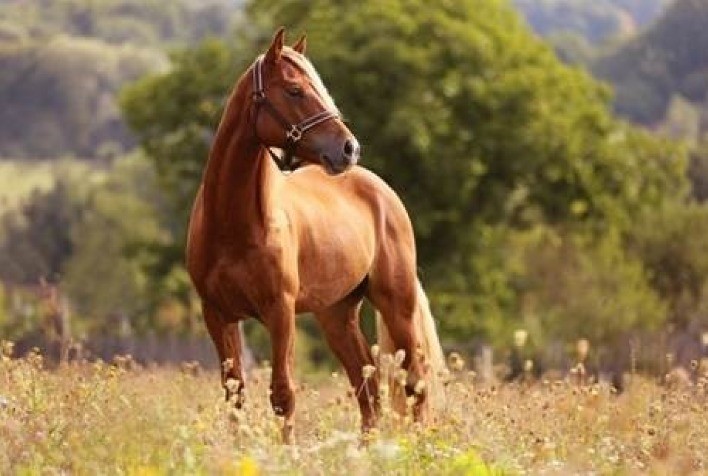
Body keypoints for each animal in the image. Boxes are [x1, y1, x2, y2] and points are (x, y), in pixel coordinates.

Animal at [185, 27, 446, 440]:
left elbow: (282, 394)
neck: (233, 225)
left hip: (396, 305)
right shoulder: (217, 314)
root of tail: (380, 189)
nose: (349, 148)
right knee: (368, 391)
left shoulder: (280, 311)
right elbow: (235, 397)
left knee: (413, 384)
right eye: (294, 90)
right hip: (336, 315)